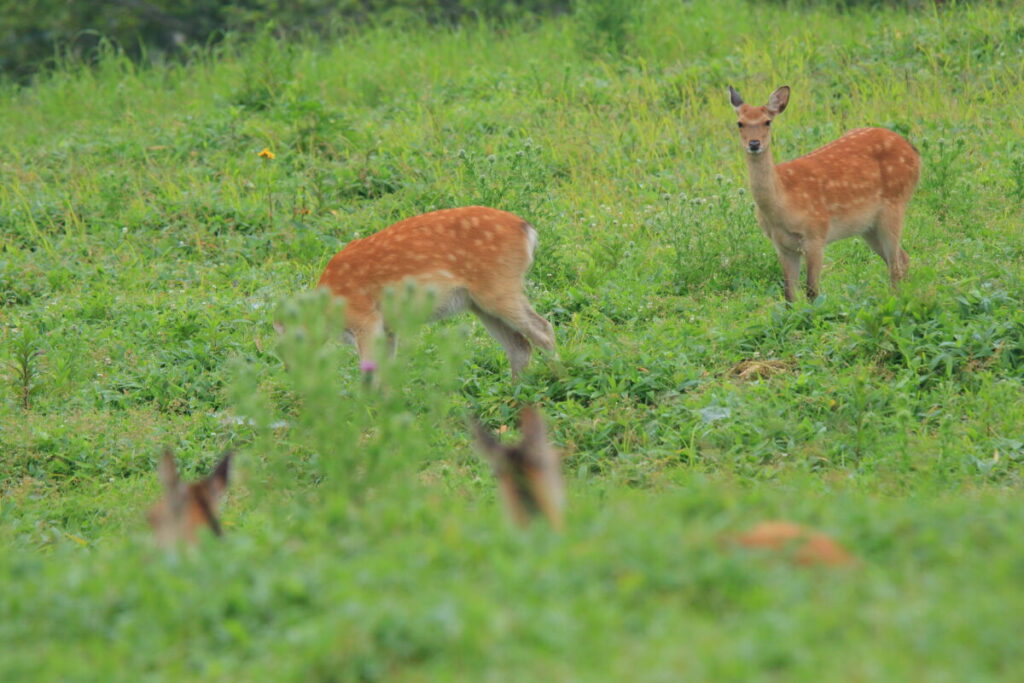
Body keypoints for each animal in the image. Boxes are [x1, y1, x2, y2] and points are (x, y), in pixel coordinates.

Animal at [315, 205, 557, 376]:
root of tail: (527, 229)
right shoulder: (388, 329)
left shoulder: (365, 320)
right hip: (480, 304)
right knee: (520, 346)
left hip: (499, 288)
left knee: (543, 329)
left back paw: (557, 377)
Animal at [729, 83, 921, 301]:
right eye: (740, 123)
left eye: (767, 121)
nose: (754, 144)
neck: (782, 204)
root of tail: (913, 150)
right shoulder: (782, 246)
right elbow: (789, 294)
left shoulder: (816, 234)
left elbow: (812, 291)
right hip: (868, 226)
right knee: (902, 258)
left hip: (895, 205)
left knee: (895, 264)